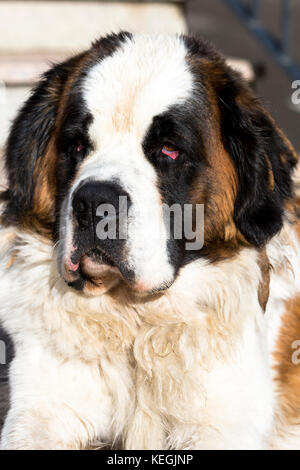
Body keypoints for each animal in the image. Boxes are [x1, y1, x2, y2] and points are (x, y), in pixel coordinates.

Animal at [0, 31, 300, 450]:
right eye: (76, 147)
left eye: (169, 150)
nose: (94, 201)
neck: (137, 322)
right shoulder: (41, 409)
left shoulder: (221, 424)